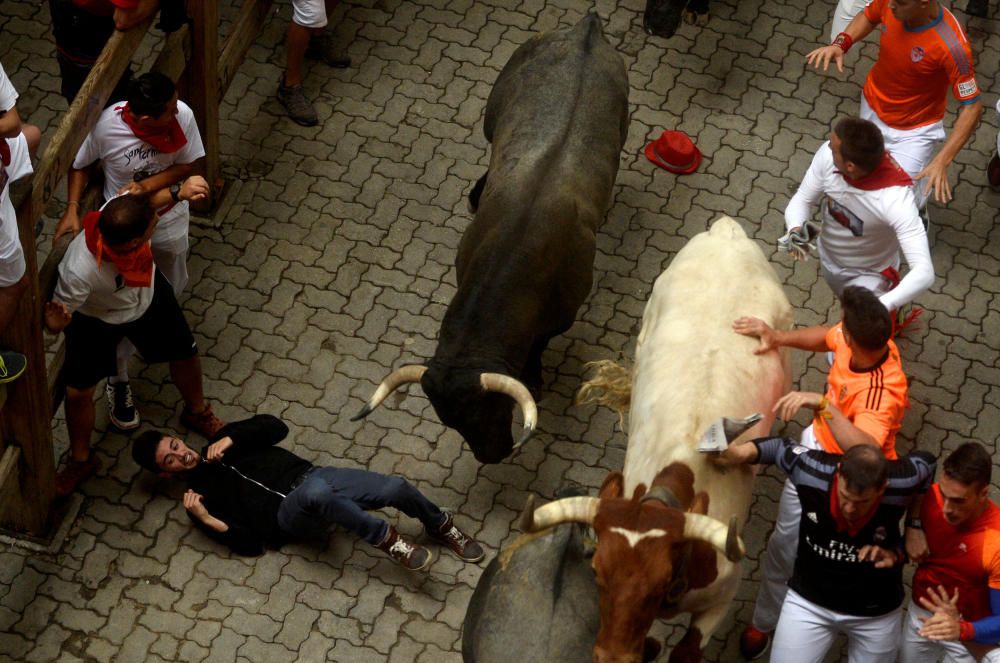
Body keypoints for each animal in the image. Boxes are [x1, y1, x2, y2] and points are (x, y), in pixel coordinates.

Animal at [356, 13, 628, 464]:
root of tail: (586, 29)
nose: (492, 455)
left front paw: (535, 378)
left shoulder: (562, 315)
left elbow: (538, 347)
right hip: (491, 117)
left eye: (496, 407)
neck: (514, 254)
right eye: (449, 420)